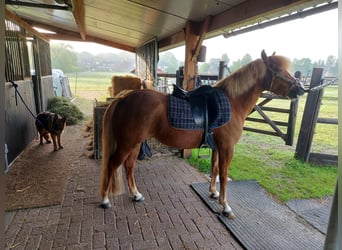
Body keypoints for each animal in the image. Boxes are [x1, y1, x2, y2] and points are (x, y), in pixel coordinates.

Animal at [99, 50, 304, 219]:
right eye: (278, 69)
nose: (300, 89)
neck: (232, 103)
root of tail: (123, 98)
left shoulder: (217, 148)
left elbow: (215, 169)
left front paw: (213, 193)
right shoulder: (227, 148)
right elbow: (224, 176)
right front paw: (225, 206)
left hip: (135, 144)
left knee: (129, 167)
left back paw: (136, 195)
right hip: (127, 144)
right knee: (112, 165)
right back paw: (105, 200)